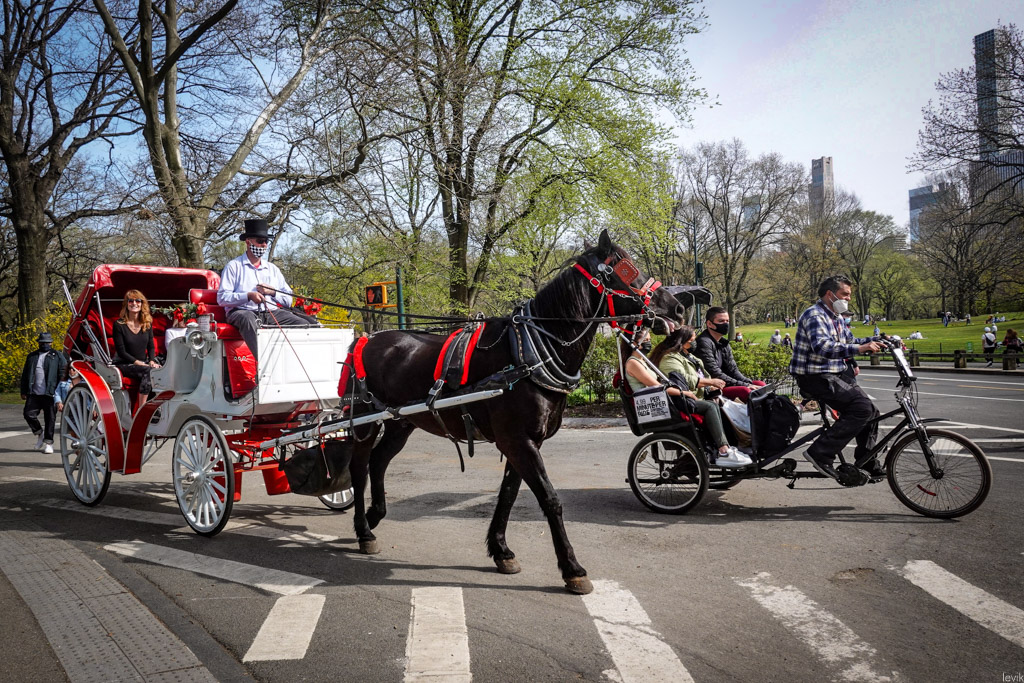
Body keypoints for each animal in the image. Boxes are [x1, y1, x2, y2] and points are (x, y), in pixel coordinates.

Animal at [344, 230, 684, 594]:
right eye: (626, 269)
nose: (677, 306)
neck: (528, 355)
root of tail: (367, 339)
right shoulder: (518, 440)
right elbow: (549, 498)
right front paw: (572, 568)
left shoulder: (524, 441)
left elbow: (507, 495)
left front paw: (501, 550)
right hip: (364, 420)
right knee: (359, 467)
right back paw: (363, 530)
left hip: (400, 422)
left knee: (379, 461)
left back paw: (374, 515)